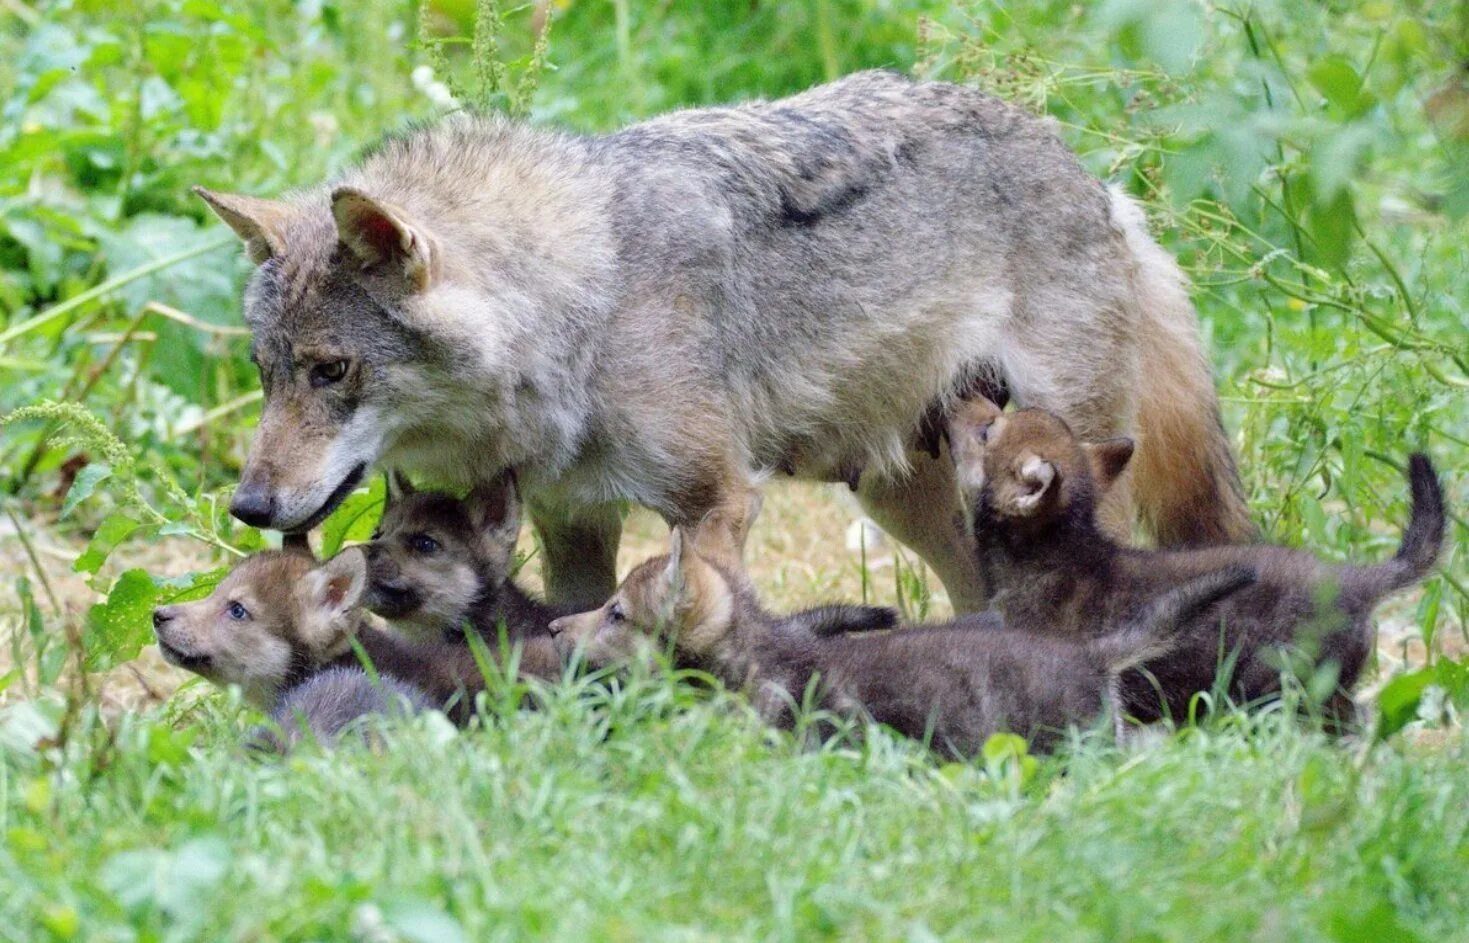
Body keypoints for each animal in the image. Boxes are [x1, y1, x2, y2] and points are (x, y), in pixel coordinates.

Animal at [195, 67, 1251, 611]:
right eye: (266, 374)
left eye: (332, 370)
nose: (248, 505)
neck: (586, 300)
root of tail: (1096, 179)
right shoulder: (572, 518)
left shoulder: (715, 503)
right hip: (912, 502)